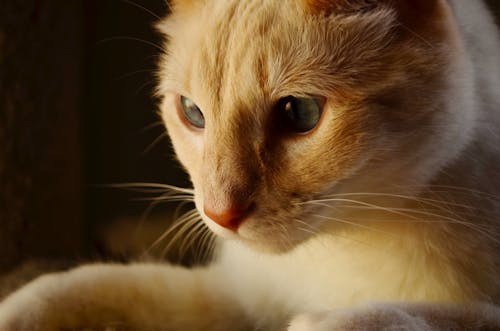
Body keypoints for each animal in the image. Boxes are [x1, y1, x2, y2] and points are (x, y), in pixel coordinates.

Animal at [0, 0, 500, 330]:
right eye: (193, 113)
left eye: (300, 113)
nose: (220, 214)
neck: (335, 248)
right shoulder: (231, 298)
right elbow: (70, 288)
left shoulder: (471, 310)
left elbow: (397, 316)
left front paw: (317, 321)